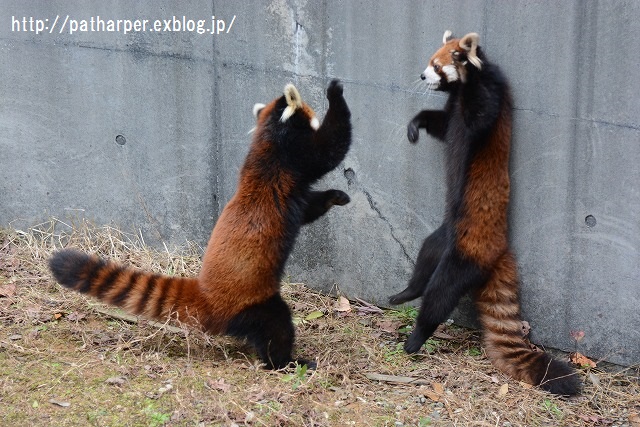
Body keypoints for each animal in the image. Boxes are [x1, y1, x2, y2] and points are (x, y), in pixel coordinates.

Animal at [48, 80, 352, 372]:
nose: (318, 105)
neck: (267, 141)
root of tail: (206, 295)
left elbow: (311, 207)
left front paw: (338, 196)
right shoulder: (290, 163)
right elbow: (331, 149)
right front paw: (335, 92)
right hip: (253, 304)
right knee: (277, 327)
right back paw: (286, 363)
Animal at [388, 31, 584, 396]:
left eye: (437, 66)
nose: (422, 76)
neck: (465, 89)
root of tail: (500, 249)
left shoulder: (490, 96)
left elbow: (477, 118)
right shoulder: (451, 112)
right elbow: (441, 124)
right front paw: (415, 124)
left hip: (467, 253)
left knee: (441, 292)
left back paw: (415, 338)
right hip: (446, 234)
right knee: (427, 254)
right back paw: (408, 291)